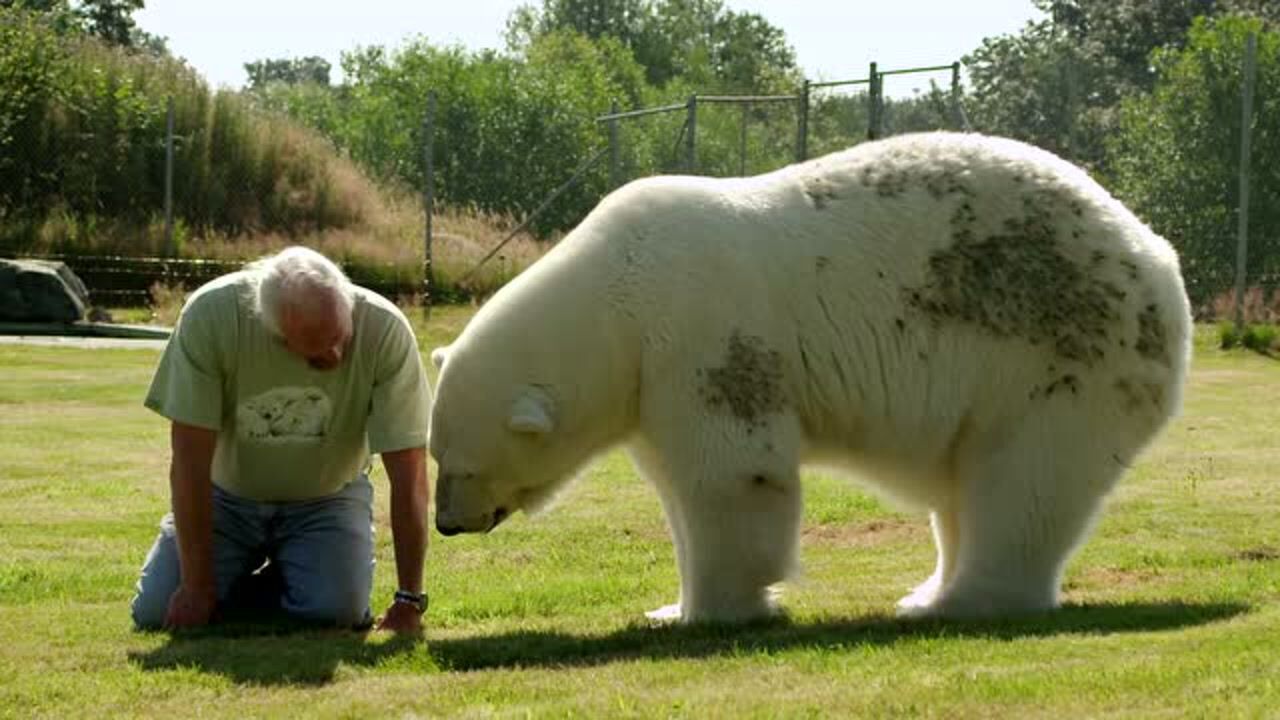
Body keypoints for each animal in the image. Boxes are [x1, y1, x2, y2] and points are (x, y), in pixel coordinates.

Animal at [427, 130, 1187, 622]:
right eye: (436, 456)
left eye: (461, 465)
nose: (446, 524)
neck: (617, 295)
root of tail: (1154, 253)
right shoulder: (650, 382)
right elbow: (675, 483)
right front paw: (669, 608)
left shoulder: (701, 336)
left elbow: (733, 475)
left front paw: (718, 611)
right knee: (965, 482)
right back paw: (925, 593)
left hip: (1060, 354)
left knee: (1025, 478)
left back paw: (966, 601)